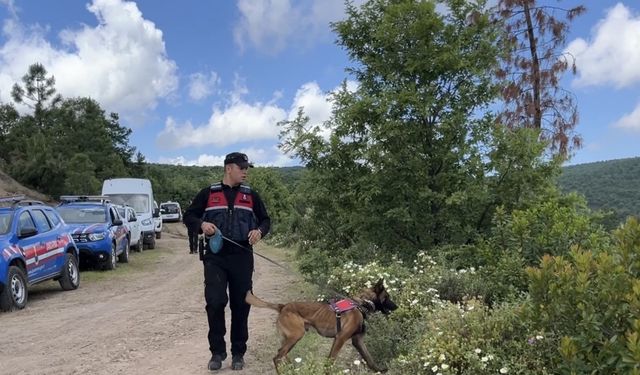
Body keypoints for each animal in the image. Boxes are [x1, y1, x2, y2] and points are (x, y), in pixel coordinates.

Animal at [244, 280, 396, 374]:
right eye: (387, 297)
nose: (397, 307)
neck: (361, 304)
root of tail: (283, 306)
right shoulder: (340, 338)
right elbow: (330, 360)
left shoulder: (357, 341)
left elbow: (369, 358)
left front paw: (379, 370)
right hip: (296, 335)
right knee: (277, 357)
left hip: (290, 338)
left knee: (283, 354)